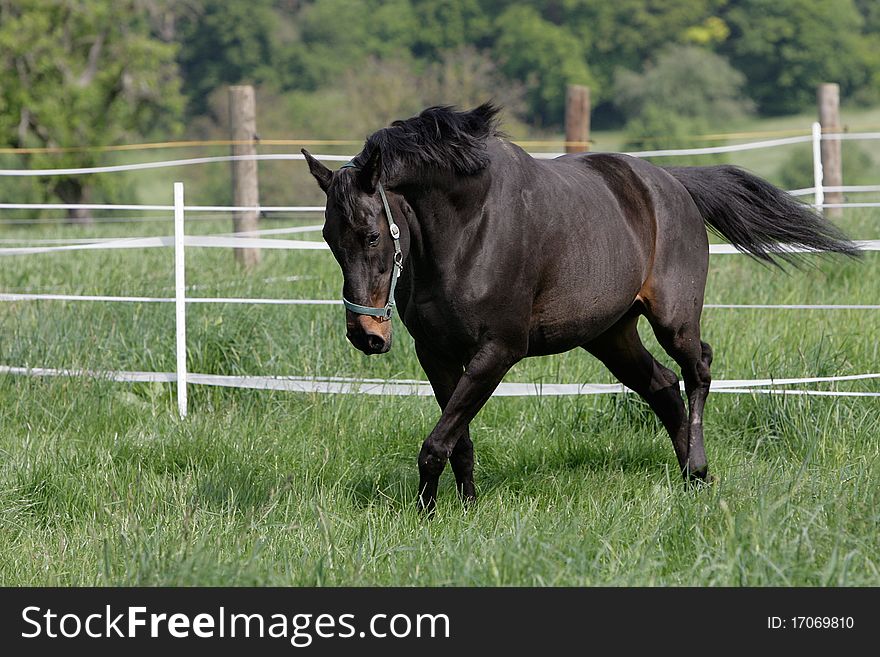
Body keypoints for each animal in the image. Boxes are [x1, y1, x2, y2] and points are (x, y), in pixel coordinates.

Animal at [304, 104, 860, 512]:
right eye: (329, 237)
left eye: (371, 234)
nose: (366, 335)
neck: (467, 230)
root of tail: (672, 184)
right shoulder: (436, 354)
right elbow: (456, 439)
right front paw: (462, 509)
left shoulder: (497, 352)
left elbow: (437, 442)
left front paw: (428, 514)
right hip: (610, 334)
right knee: (662, 386)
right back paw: (691, 478)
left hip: (674, 318)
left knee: (697, 368)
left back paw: (699, 466)